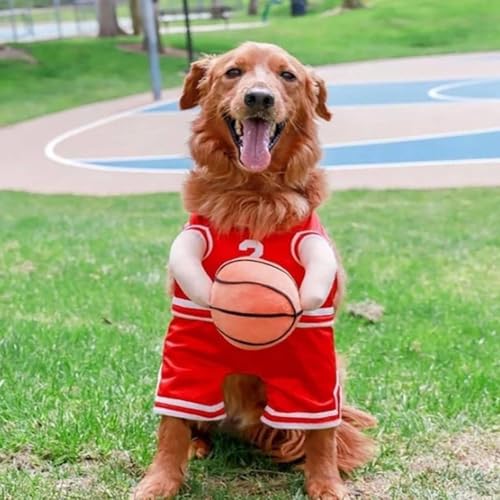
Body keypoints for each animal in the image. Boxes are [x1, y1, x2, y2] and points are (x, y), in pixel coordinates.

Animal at [133, 41, 376, 498]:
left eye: (287, 76)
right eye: (233, 72)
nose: (259, 98)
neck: (254, 195)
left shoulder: (315, 345)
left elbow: (322, 432)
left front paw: (325, 482)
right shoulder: (185, 338)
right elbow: (171, 423)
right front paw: (159, 481)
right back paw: (198, 445)